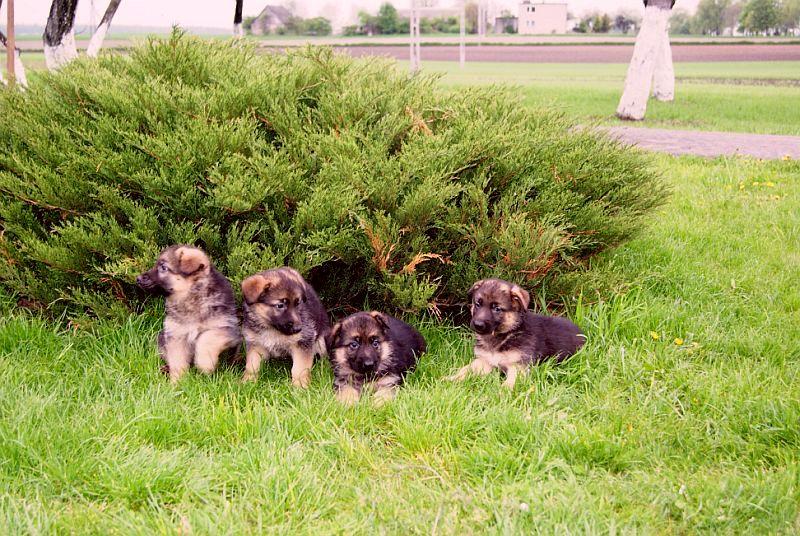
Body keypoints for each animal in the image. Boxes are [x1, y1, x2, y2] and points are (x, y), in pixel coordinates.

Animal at [136, 245, 241, 384]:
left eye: (163, 268)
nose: (138, 278)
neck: (191, 296)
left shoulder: (225, 328)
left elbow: (206, 339)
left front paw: (205, 364)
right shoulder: (176, 335)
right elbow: (177, 361)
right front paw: (176, 383)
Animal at [446, 278, 584, 388]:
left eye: (497, 309)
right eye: (478, 304)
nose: (478, 325)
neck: (504, 334)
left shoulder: (518, 366)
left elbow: (509, 383)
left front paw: (501, 392)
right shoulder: (484, 361)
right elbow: (465, 369)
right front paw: (451, 378)